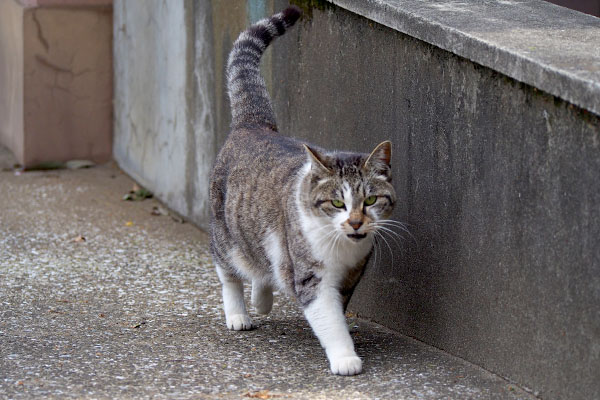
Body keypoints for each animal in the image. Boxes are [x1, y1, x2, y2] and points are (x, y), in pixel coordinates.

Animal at [209, 5, 396, 376]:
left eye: (370, 199)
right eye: (337, 203)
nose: (356, 222)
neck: (342, 247)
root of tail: (253, 124)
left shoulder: (351, 275)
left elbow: (337, 310)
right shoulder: (312, 275)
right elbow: (328, 317)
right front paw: (345, 357)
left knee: (266, 265)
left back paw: (262, 299)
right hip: (226, 231)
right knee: (229, 270)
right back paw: (239, 313)